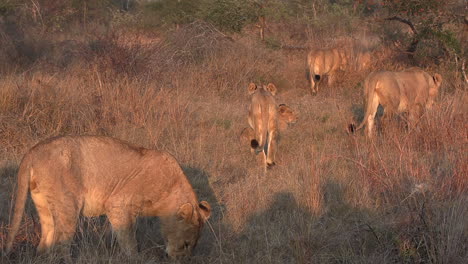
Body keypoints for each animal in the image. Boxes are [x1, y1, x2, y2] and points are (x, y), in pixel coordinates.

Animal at [4, 135, 210, 258]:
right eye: (185, 244)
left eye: (193, 246)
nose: (179, 261)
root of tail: (33, 151)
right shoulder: (118, 205)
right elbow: (128, 240)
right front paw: (134, 258)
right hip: (68, 205)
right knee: (61, 244)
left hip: (43, 203)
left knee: (45, 240)